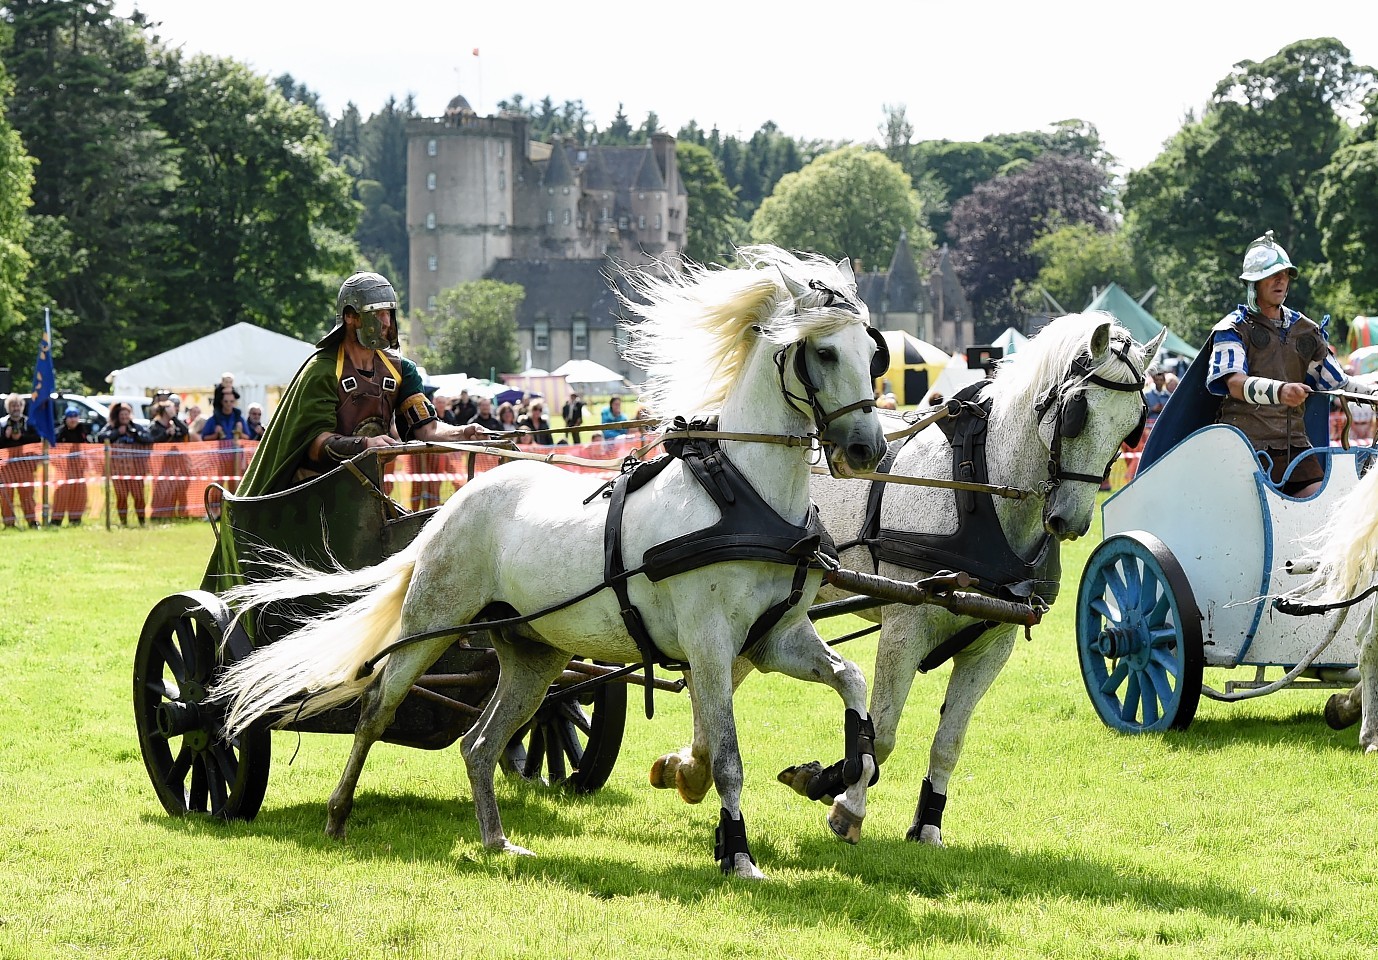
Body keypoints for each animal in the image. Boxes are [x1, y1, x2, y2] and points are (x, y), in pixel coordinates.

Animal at [209, 245, 887, 875]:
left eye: (872, 350)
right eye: (824, 352)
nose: (867, 450)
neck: (743, 495)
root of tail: (452, 508)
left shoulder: (777, 638)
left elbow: (854, 685)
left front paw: (840, 787)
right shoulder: (710, 645)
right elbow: (726, 757)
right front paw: (739, 852)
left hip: (534, 656)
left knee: (479, 744)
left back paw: (495, 839)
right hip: (431, 623)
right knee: (378, 706)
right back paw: (338, 812)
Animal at [650, 311, 1157, 842]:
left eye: (1133, 424)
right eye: (1077, 411)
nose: (1069, 521)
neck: (979, 488)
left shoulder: (992, 646)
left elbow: (948, 742)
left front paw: (926, 823)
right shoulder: (904, 629)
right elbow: (883, 734)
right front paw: (841, 798)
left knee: (722, 674)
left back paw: (692, 766)